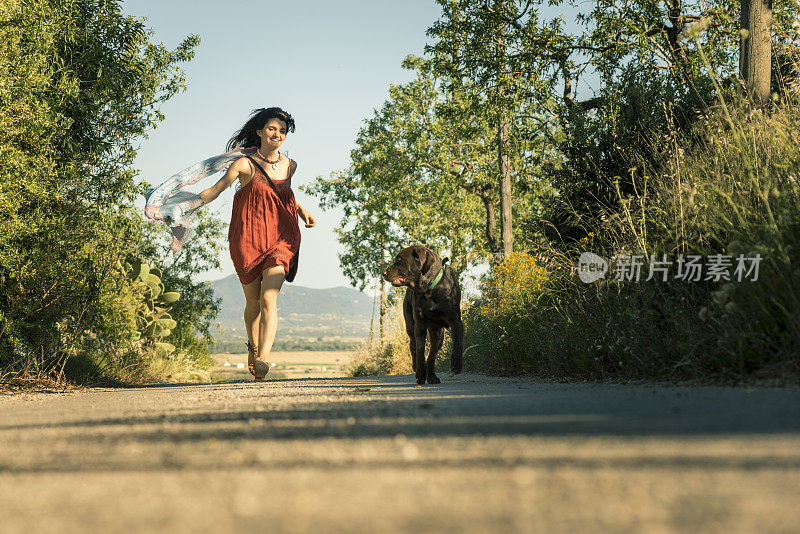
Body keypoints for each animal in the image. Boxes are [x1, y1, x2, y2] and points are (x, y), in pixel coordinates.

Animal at [382, 247, 462, 386]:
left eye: (399, 260)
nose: (383, 272)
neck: (429, 288)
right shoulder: (419, 326)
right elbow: (420, 352)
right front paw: (420, 374)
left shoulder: (455, 321)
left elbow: (455, 344)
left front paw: (455, 365)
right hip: (410, 326)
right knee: (413, 347)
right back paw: (417, 369)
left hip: (438, 333)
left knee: (432, 352)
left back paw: (432, 376)